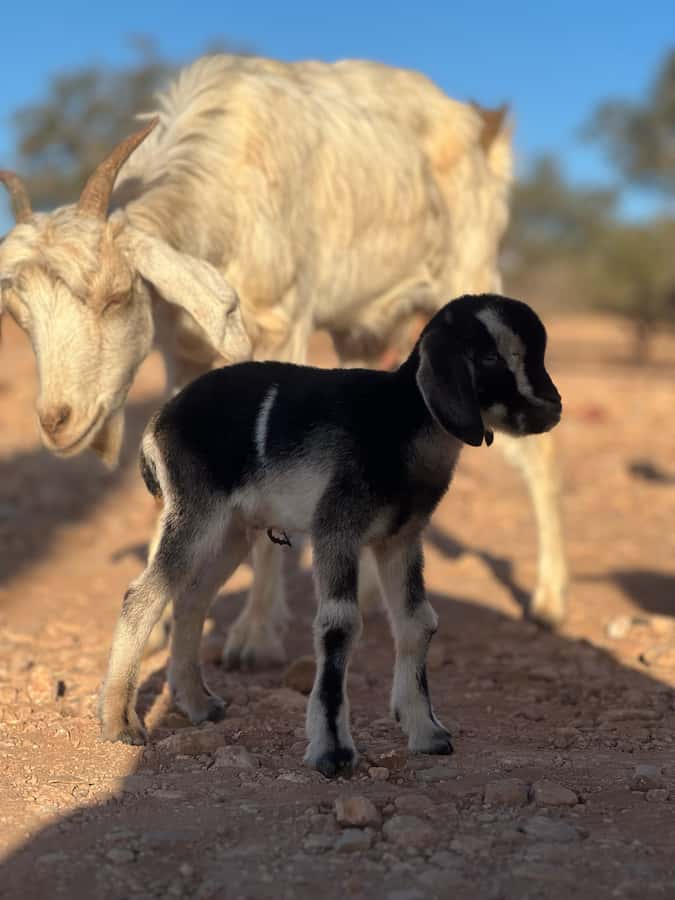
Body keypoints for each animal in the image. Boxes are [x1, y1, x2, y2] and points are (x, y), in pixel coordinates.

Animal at [0, 54, 565, 672]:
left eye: (117, 296)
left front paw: (255, 636)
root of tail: (484, 128)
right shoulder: (186, 359)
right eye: (19, 317)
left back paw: (549, 601)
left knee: (538, 454)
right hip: (359, 330)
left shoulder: (284, 328)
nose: (57, 422)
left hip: (471, 270)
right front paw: (158, 623)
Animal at [99, 294, 562, 776]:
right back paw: (120, 721)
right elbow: (340, 624)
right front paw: (333, 750)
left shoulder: (400, 539)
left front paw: (427, 731)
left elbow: (418, 622)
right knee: (143, 595)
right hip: (196, 515)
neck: (400, 420)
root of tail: (158, 422)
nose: (550, 409)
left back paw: (197, 702)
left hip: (233, 531)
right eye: (489, 356)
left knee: (191, 598)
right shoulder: (336, 530)